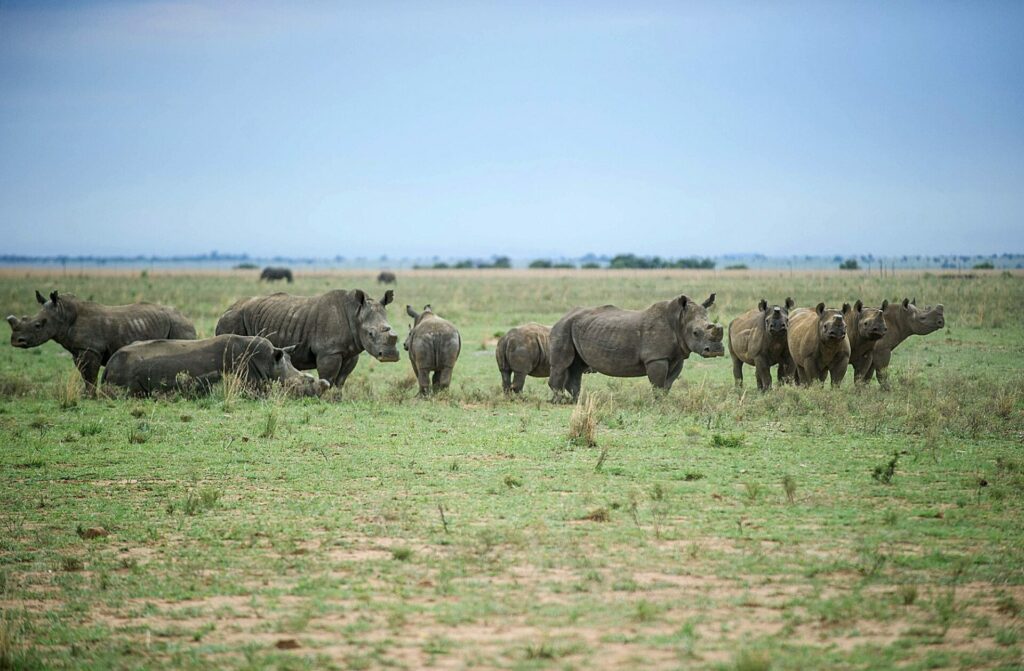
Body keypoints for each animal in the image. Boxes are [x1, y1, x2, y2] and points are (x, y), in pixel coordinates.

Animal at [7, 290, 196, 393]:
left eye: (38, 325)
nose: (16, 341)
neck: (63, 315)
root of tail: (186, 317)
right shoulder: (78, 350)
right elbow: (84, 375)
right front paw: (86, 395)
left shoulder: (91, 349)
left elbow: (90, 375)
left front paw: (91, 397)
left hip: (179, 325)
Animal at [216, 288, 399, 393]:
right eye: (370, 334)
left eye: (391, 329)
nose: (390, 356)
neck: (355, 314)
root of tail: (225, 310)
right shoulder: (329, 351)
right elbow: (329, 377)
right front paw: (325, 396)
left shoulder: (351, 351)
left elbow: (341, 379)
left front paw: (337, 398)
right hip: (232, 320)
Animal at [548, 290, 724, 401]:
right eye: (695, 333)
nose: (715, 351)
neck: (678, 320)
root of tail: (563, 316)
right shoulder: (656, 357)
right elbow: (658, 385)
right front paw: (657, 404)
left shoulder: (677, 357)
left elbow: (668, 384)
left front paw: (664, 403)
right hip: (563, 327)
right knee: (562, 364)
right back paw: (559, 401)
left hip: (575, 327)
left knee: (577, 366)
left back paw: (577, 400)